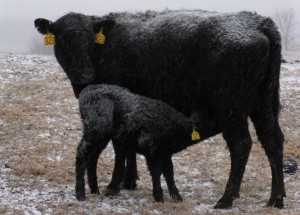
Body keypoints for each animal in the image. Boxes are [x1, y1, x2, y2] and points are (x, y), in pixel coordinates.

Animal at [34, 9, 284, 208]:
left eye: (89, 41)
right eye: (64, 40)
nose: (85, 74)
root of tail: (260, 22)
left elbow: (120, 147)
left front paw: (117, 183)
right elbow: (128, 146)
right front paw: (130, 180)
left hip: (230, 108)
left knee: (242, 145)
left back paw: (226, 199)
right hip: (265, 102)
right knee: (273, 140)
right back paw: (276, 198)